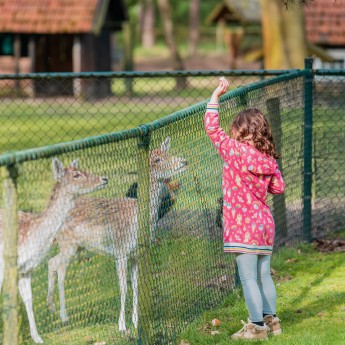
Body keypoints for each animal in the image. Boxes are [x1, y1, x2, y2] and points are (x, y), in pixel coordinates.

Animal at [0, 158, 107, 342]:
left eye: (81, 169)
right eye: (76, 175)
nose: (104, 178)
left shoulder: (25, 270)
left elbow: (28, 299)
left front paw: (37, 338)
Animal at [46, 136, 187, 330]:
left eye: (168, 152)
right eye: (158, 159)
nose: (183, 161)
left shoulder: (137, 254)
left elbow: (136, 286)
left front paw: (136, 321)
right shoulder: (121, 252)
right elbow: (123, 287)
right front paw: (122, 326)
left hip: (77, 248)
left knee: (54, 264)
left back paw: (55, 311)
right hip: (67, 244)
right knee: (53, 263)